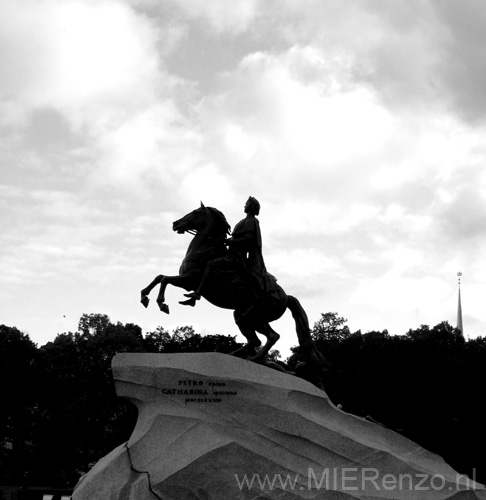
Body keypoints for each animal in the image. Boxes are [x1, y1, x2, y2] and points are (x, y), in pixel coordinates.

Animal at [140, 203, 330, 376]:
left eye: (195, 212)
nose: (175, 224)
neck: (205, 248)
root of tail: (286, 296)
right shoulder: (185, 280)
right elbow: (159, 277)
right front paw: (144, 297)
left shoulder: (190, 280)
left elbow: (165, 279)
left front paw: (164, 303)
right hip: (241, 315)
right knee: (254, 340)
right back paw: (234, 355)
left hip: (255, 317)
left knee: (272, 336)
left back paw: (254, 358)